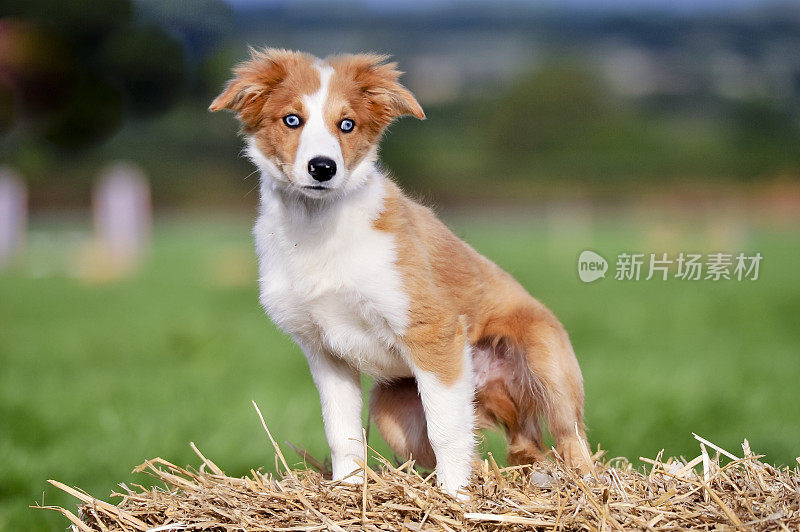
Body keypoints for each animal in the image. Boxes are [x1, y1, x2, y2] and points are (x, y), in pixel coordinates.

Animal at [211, 47, 588, 496]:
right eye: (291, 120)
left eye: (347, 124)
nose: (323, 168)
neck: (319, 230)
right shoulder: (324, 351)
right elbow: (342, 432)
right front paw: (349, 488)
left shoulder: (433, 332)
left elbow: (447, 430)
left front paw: (454, 496)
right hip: (393, 409)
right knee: (521, 449)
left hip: (546, 364)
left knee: (570, 438)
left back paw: (587, 487)